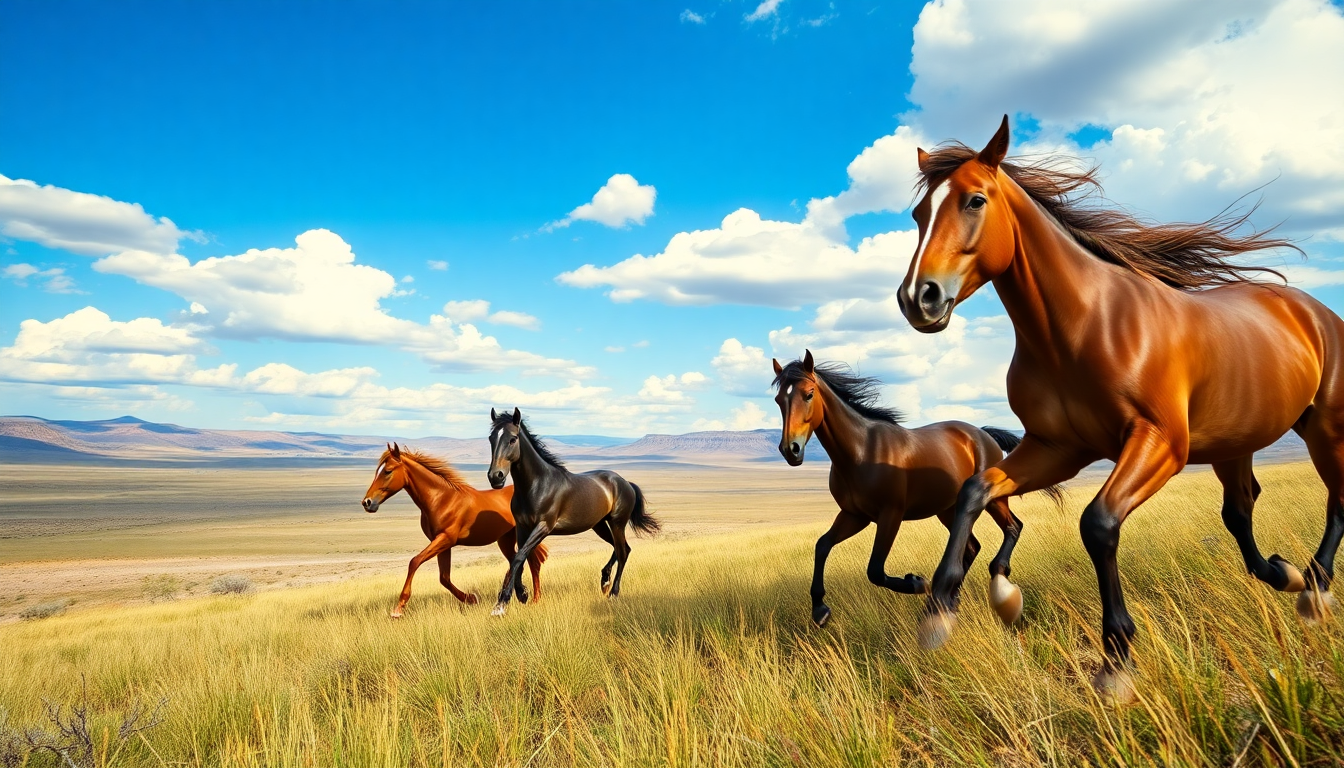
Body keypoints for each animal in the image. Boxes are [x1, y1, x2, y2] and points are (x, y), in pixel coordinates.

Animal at [361, 443, 546, 617]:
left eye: (388, 471)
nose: (367, 502)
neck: (442, 499)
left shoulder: (445, 539)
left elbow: (414, 562)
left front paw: (398, 609)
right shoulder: (442, 543)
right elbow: (444, 578)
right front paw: (471, 599)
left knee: (532, 563)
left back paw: (534, 599)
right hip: (506, 539)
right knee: (517, 561)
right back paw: (518, 594)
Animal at [486, 408, 659, 616]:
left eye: (513, 439)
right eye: (491, 438)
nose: (495, 477)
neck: (537, 485)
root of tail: (625, 482)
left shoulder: (544, 526)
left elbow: (519, 557)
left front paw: (502, 604)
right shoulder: (522, 527)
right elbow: (518, 558)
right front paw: (521, 594)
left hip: (617, 523)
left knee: (623, 551)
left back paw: (613, 593)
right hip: (600, 525)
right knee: (621, 548)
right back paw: (604, 581)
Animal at [773, 350, 1060, 629]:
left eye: (809, 394)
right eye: (778, 400)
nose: (790, 450)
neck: (861, 451)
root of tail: (982, 433)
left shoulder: (891, 514)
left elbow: (875, 570)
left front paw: (917, 583)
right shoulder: (855, 515)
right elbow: (822, 545)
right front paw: (820, 610)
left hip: (990, 499)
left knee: (1013, 527)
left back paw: (991, 579)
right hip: (948, 508)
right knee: (971, 547)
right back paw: (948, 602)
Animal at [898, 115, 1340, 702]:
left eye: (974, 200)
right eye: (918, 215)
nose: (917, 298)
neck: (1085, 325)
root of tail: (1311, 309)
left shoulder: (1160, 445)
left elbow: (1099, 523)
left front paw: (1116, 662)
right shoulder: (1057, 448)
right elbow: (975, 489)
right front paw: (946, 612)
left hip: (1326, 427)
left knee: (1335, 499)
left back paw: (1314, 589)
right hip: (1235, 442)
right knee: (1240, 510)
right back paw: (1284, 574)